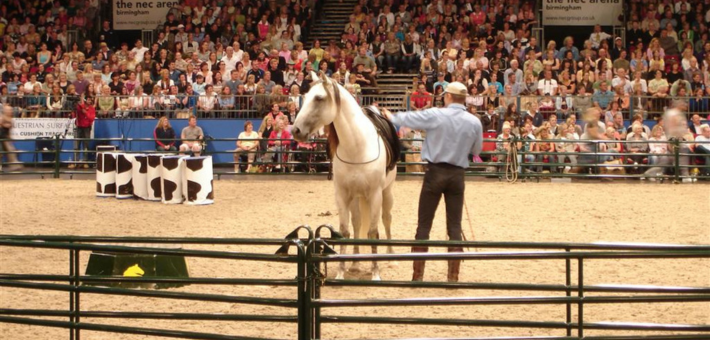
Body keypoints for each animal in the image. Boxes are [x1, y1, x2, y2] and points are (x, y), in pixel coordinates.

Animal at [290, 72, 400, 282]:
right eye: (305, 97)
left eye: (319, 98)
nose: (296, 130)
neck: (357, 147)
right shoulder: (342, 195)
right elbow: (345, 230)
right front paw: (341, 272)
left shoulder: (375, 195)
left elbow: (373, 231)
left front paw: (375, 272)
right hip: (356, 196)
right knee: (357, 223)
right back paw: (355, 263)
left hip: (387, 193)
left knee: (387, 219)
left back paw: (390, 256)